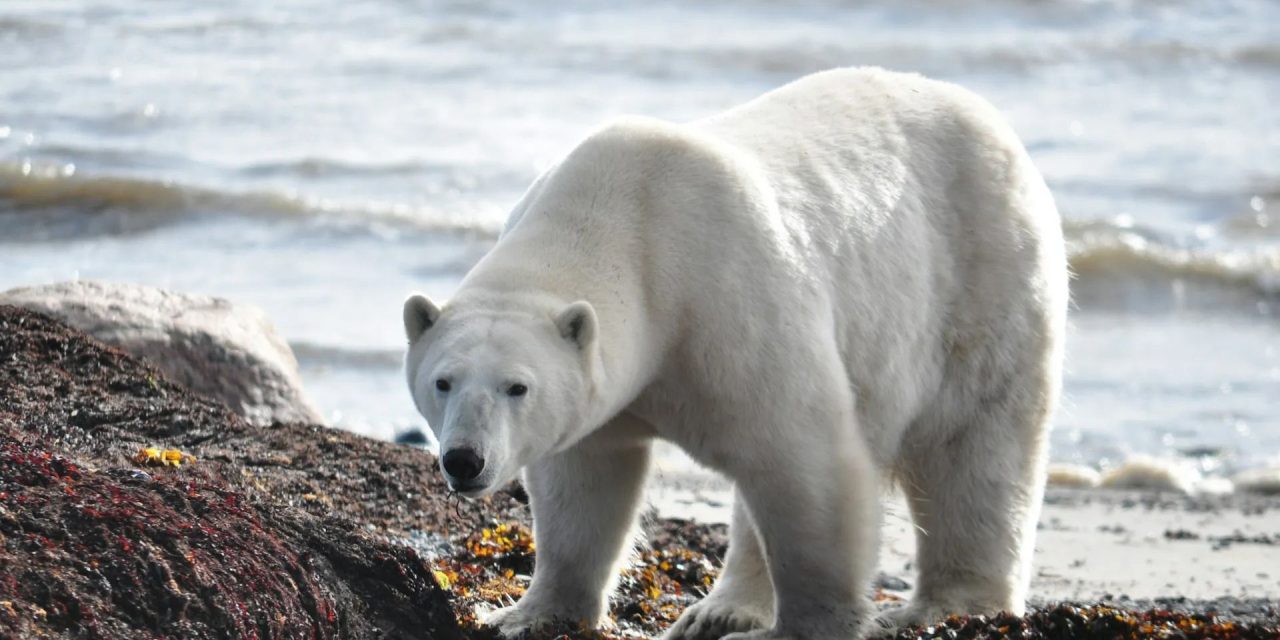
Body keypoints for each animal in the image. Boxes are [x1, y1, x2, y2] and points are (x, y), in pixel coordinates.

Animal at [403, 67, 1067, 640]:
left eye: (517, 386)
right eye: (443, 381)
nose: (464, 460)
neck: (627, 223)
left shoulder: (728, 304)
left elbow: (804, 458)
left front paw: (804, 629)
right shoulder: (609, 384)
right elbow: (586, 481)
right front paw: (525, 614)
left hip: (982, 277)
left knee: (973, 447)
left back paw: (950, 604)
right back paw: (721, 610)